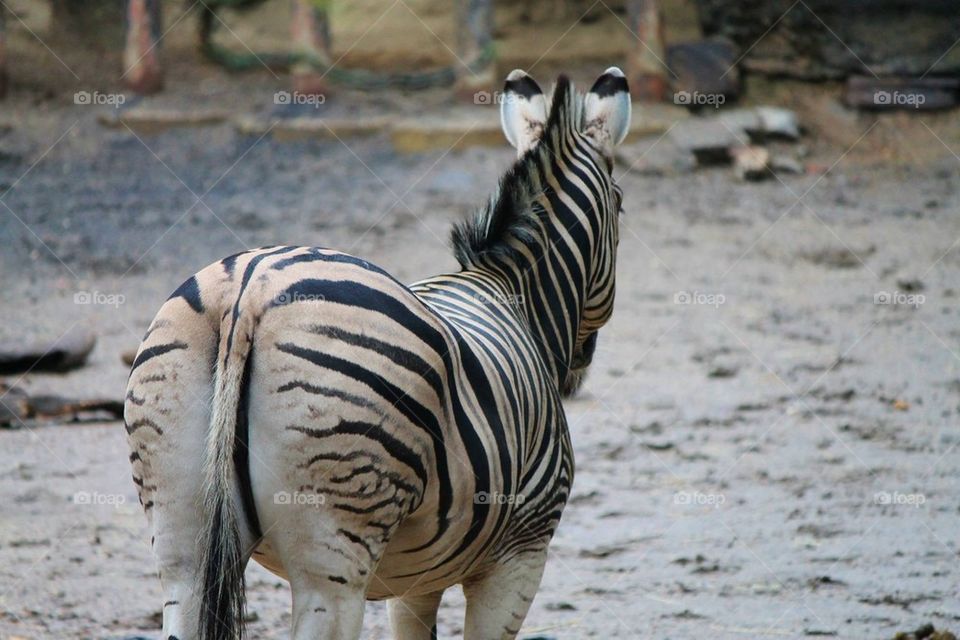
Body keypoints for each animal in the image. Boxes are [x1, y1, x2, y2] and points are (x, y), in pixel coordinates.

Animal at [124, 67, 630, 640]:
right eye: (620, 205)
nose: (579, 366)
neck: (505, 288)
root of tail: (249, 292)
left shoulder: (417, 580)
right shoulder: (520, 554)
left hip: (180, 537)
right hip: (334, 555)